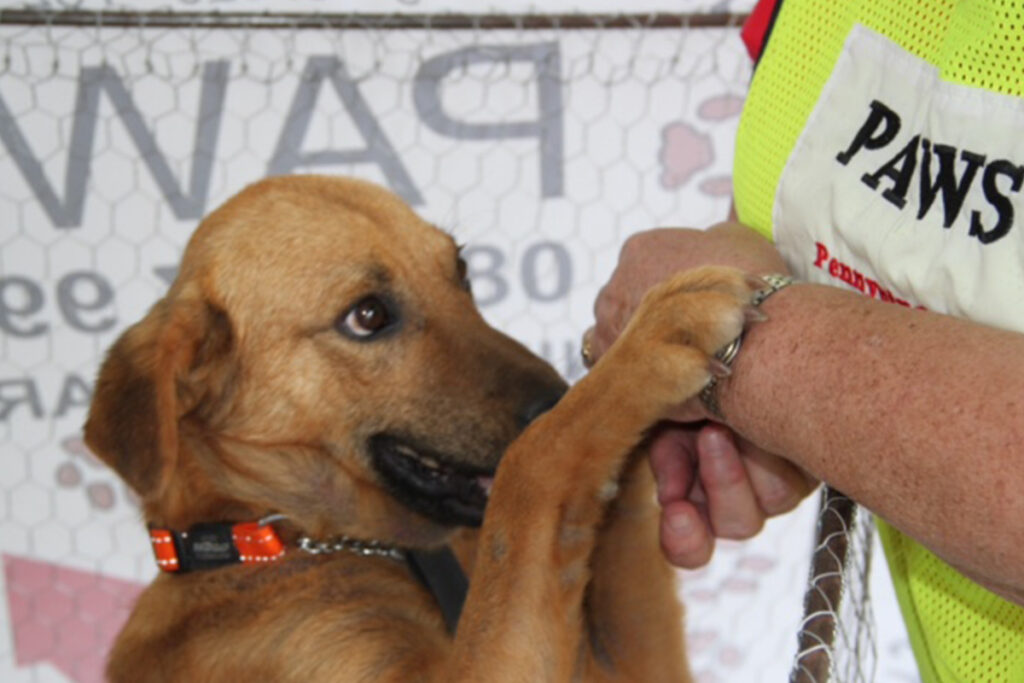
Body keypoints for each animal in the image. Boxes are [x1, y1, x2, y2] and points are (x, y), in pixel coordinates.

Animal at [83, 178, 753, 683]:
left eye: (461, 271)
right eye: (367, 316)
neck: (272, 537)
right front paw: (646, 344)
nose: (555, 396)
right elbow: (534, 465)